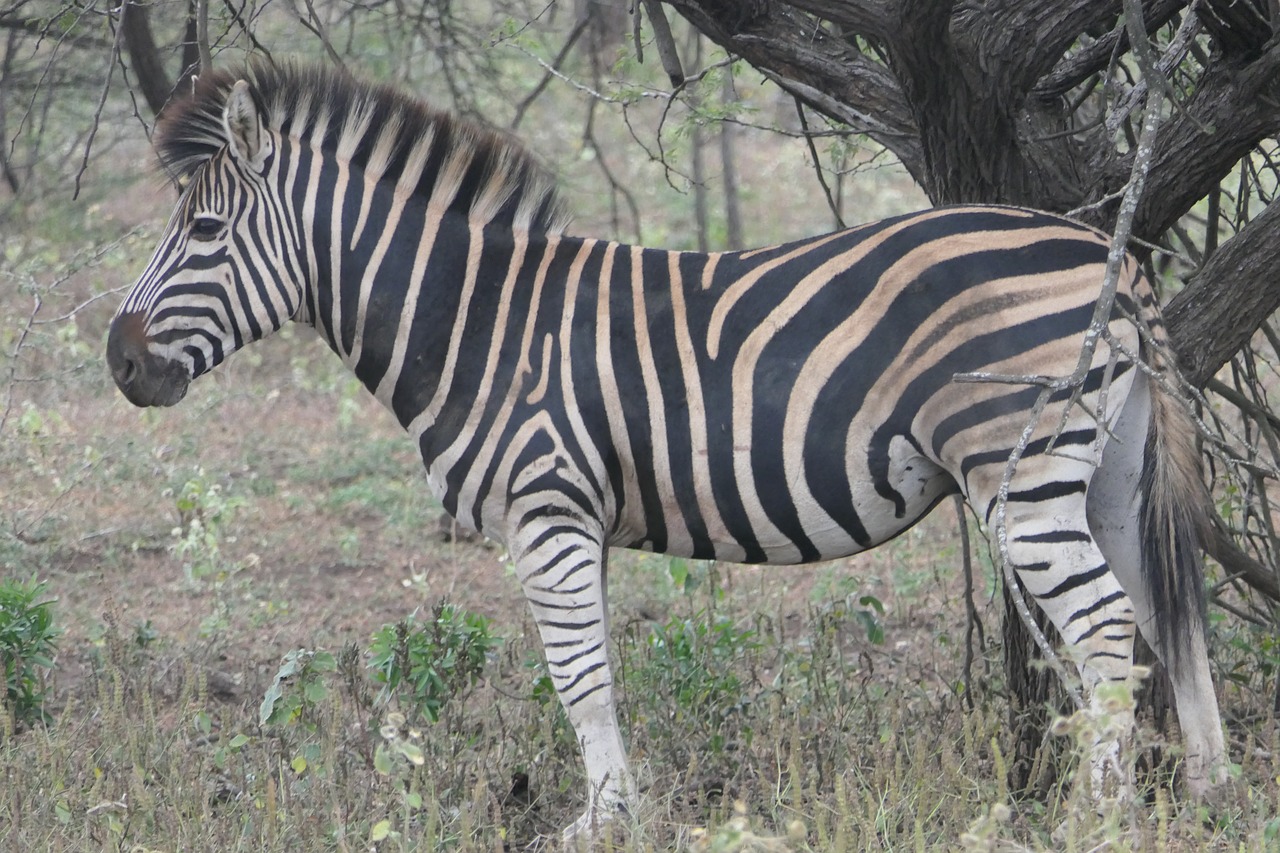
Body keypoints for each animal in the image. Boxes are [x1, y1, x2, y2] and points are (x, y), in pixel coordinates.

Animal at [104, 63, 1223, 840]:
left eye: (204, 233)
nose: (120, 360)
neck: (475, 324)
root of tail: (1111, 256)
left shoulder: (546, 506)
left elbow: (578, 677)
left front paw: (599, 823)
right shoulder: (578, 519)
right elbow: (593, 669)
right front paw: (617, 810)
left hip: (1022, 475)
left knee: (1106, 628)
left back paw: (1097, 818)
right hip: (1106, 475)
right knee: (1172, 616)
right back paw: (1215, 794)